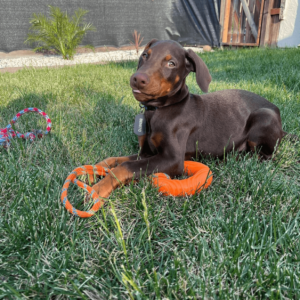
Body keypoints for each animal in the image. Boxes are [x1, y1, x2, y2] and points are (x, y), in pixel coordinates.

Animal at [91, 39, 284, 199]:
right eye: (145, 55)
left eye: (171, 63)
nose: (137, 79)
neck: (159, 110)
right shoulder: (146, 152)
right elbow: (116, 160)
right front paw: (94, 169)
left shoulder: (173, 160)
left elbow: (125, 167)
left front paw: (98, 189)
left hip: (264, 116)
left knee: (265, 156)